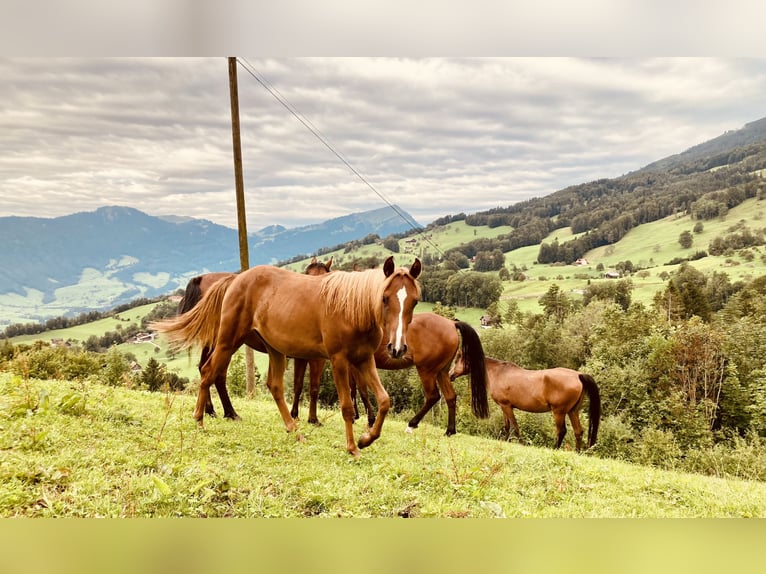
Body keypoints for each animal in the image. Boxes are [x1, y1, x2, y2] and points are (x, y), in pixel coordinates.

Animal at [180, 258, 336, 420]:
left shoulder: (301, 358)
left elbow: (299, 385)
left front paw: (295, 414)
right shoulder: (315, 359)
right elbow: (312, 387)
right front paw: (311, 418)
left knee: (205, 369)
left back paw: (213, 410)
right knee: (217, 374)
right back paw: (227, 411)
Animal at [292, 316, 488, 436]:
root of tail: (450, 323)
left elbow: (361, 390)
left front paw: (369, 419)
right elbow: (354, 389)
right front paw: (357, 416)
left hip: (426, 370)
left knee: (433, 396)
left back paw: (412, 424)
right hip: (441, 372)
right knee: (450, 397)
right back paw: (449, 431)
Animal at [448, 354, 604, 452]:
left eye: (457, 360)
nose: (450, 375)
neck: (497, 373)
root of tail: (578, 375)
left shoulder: (506, 406)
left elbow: (514, 426)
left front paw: (521, 443)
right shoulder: (505, 407)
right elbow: (507, 426)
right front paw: (506, 441)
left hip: (559, 412)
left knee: (562, 431)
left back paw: (555, 449)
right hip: (573, 412)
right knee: (578, 431)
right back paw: (577, 452)